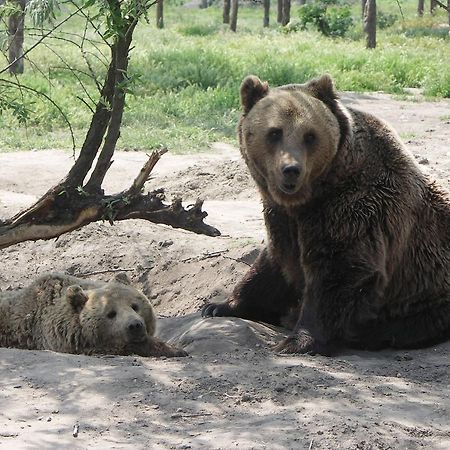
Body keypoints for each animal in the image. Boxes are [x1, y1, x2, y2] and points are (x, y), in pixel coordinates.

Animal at [202, 73, 450, 356]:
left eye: (310, 135)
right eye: (275, 133)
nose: (291, 170)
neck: (309, 198)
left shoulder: (354, 208)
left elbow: (338, 272)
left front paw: (297, 341)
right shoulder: (281, 218)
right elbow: (273, 262)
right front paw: (218, 306)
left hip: (429, 293)